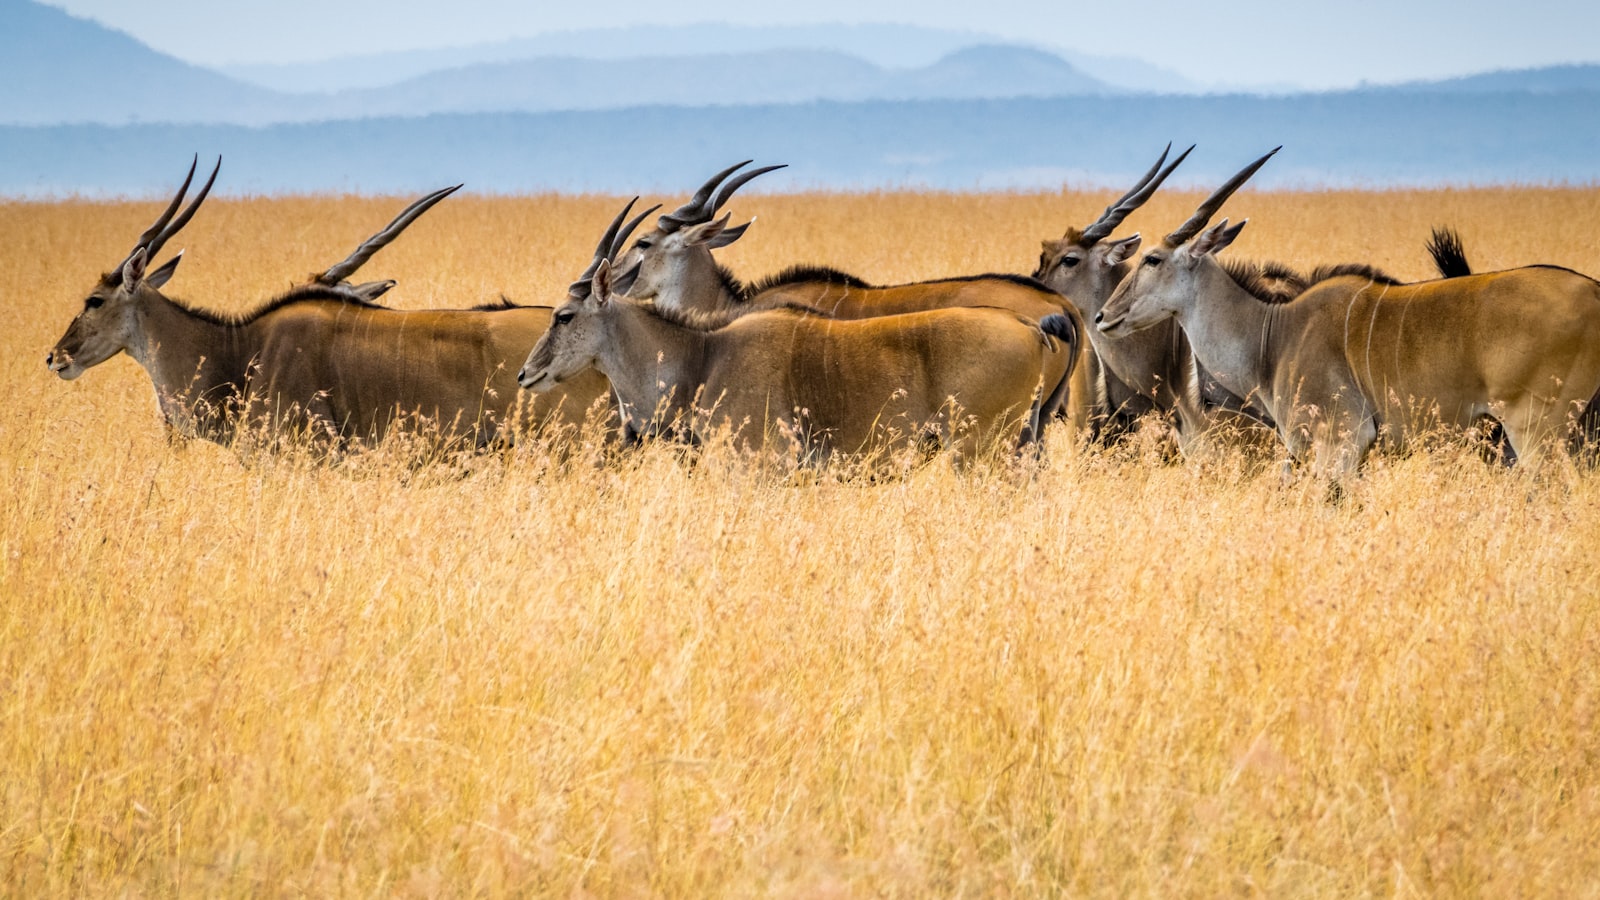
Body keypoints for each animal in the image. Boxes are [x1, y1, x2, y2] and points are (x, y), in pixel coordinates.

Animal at [1094, 150, 1600, 480]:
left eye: (1152, 259)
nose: (1102, 317)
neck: (1273, 335)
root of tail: (1594, 292)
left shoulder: (1339, 442)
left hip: (1536, 432)